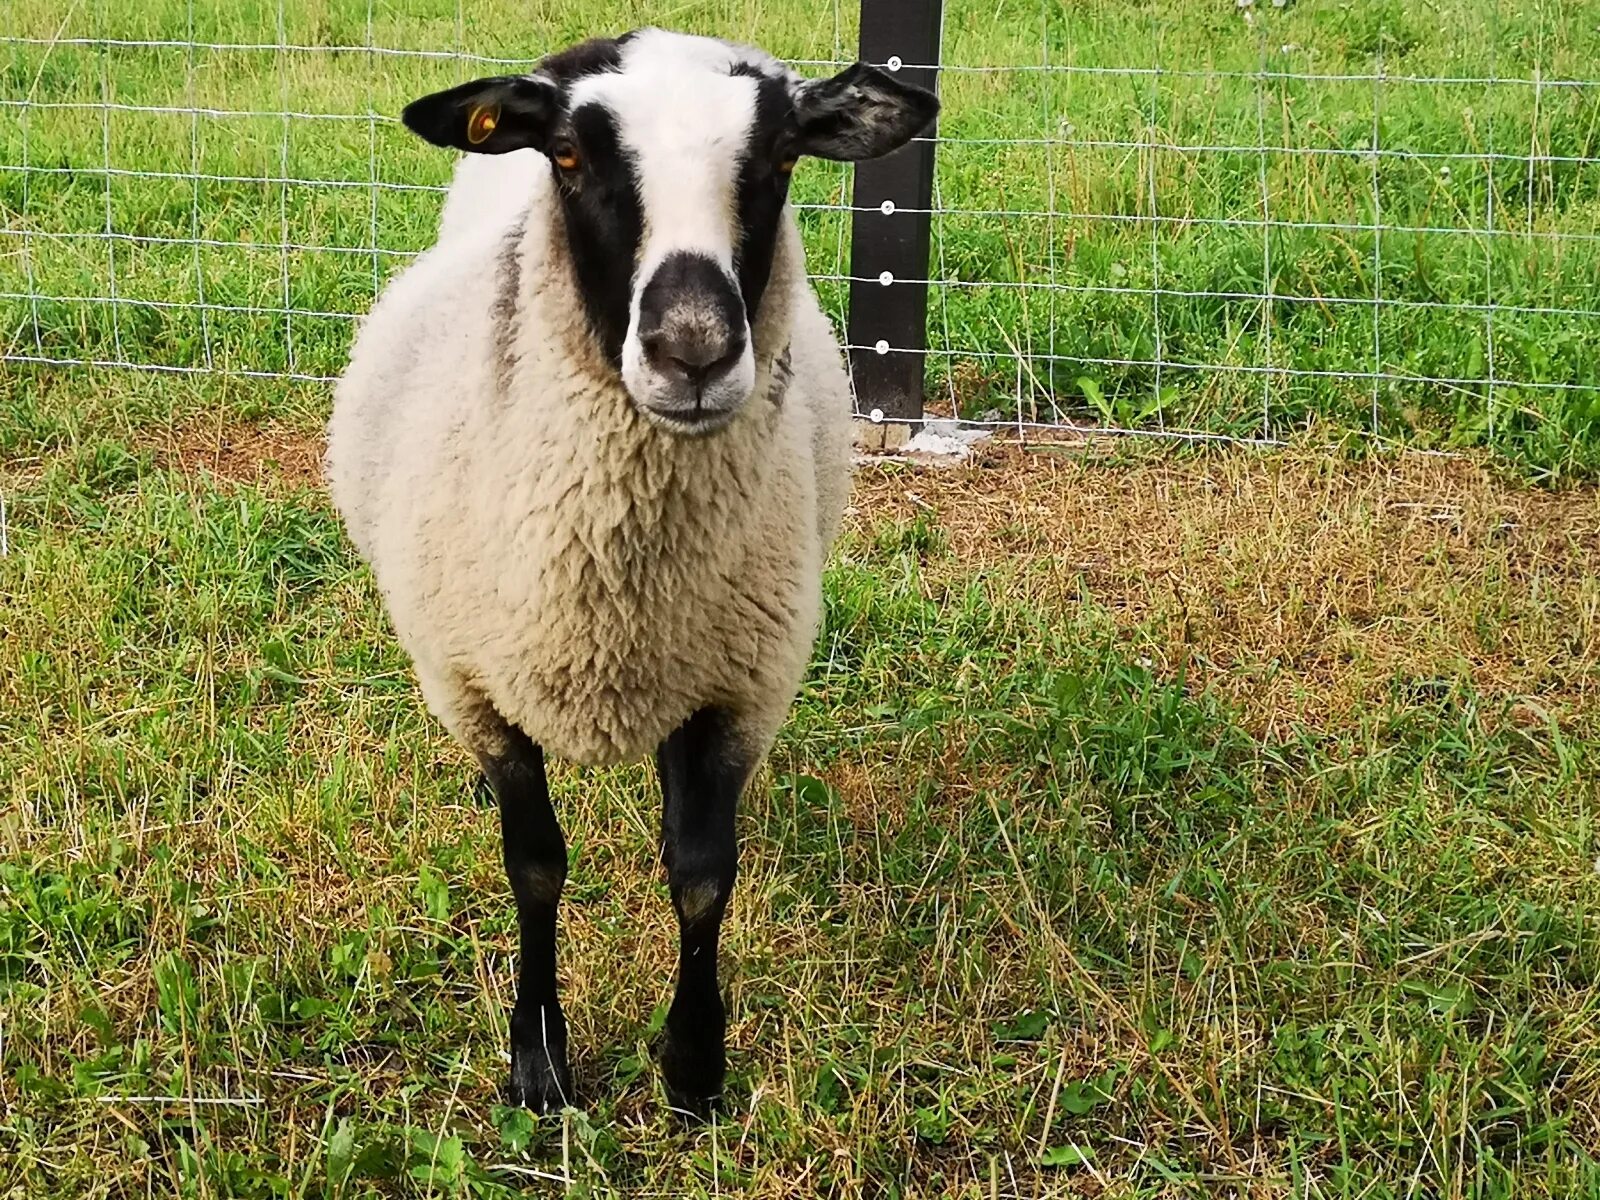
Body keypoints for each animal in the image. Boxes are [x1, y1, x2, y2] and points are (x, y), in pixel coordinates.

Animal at [328, 28, 934, 1120]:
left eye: (781, 157)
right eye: (569, 154)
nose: (693, 351)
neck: (614, 592)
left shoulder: (739, 685)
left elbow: (700, 875)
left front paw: (693, 1064)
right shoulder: (474, 687)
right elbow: (534, 867)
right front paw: (538, 1061)